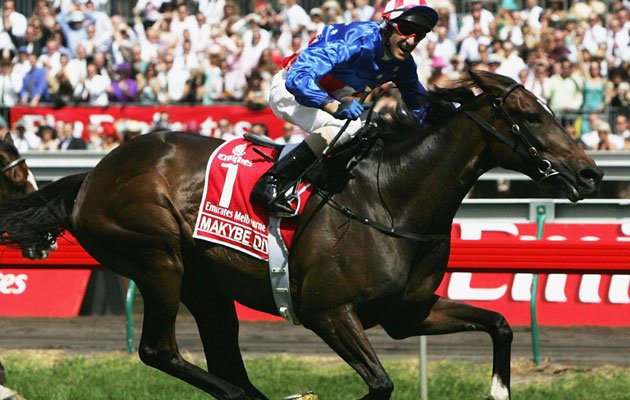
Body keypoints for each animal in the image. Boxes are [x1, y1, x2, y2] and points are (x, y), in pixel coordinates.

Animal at [0, 71, 602, 400]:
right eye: (529, 115)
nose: (591, 173)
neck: (392, 199)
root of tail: (91, 175)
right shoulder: (327, 311)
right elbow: (380, 383)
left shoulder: (409, 314)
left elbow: (499, 322)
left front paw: (499, 389)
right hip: (158, 259)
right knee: (159, 351)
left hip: (205, 285)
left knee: (220, 358)